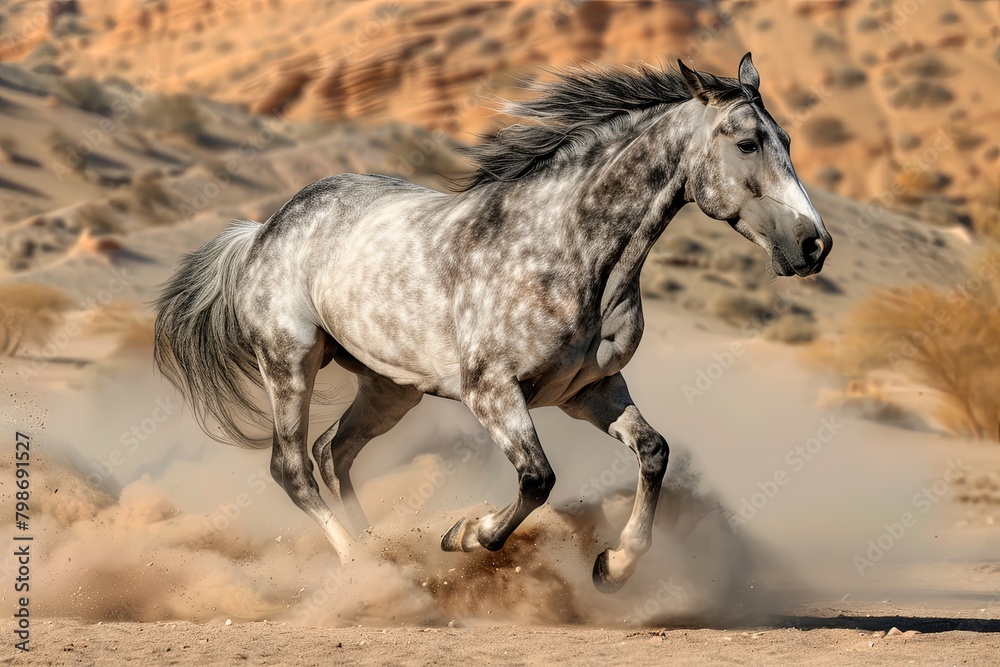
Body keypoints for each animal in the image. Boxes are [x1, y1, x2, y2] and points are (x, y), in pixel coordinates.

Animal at [154, 53, 832, 593]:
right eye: (746, 143)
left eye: (787, 138)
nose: (814, 244)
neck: (569, 251)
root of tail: (262, 229)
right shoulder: (493, 394)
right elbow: (537, 478)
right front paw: (465, 534)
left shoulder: (591, 391)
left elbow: (653, 453)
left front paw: (612, 568)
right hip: (290, 361)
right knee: (292, 467)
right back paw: (362, 567)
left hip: (389, 386)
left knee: (333, 452)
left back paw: (382, 551)